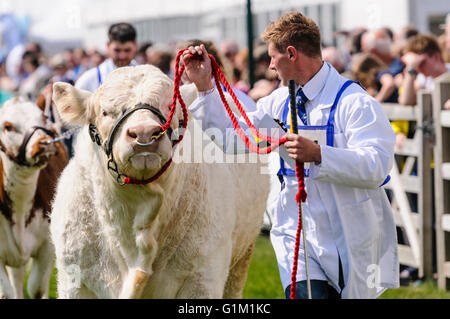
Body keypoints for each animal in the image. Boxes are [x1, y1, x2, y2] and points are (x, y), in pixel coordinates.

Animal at [0, 96, 68, 298]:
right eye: (7, 126)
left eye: (43, 118)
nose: (44, 142)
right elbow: (6, 292)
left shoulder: (47, 245)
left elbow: (37, 287)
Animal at [51, 65, 268, 300]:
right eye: (105, 112)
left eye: (170, 105)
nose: (144, 133)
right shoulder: (74, 278)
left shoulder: (203, 277)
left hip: (242, 257)